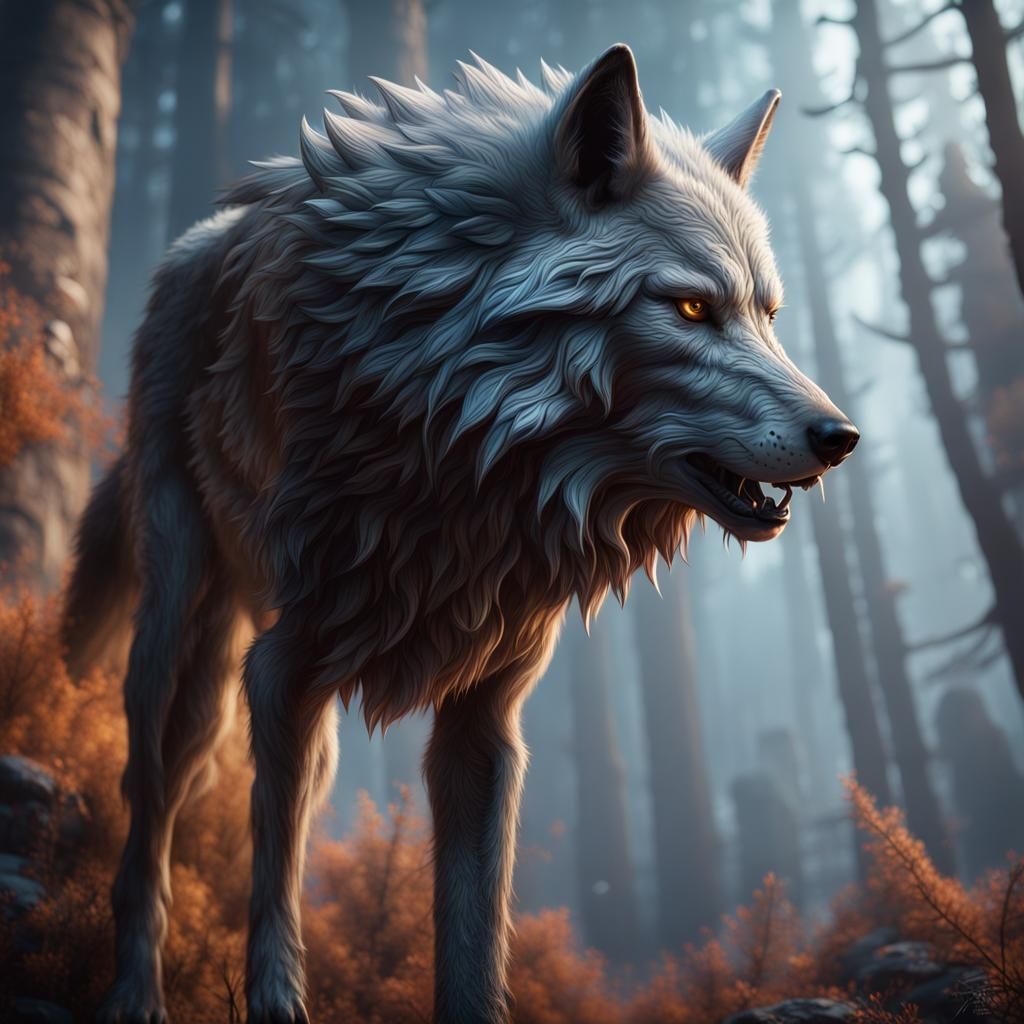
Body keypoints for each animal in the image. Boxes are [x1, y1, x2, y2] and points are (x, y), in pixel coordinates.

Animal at [63, 44, 858, 1024]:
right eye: (691, 310)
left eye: (768, 314)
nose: (840, 437)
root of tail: (191, 243)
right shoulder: (281, 673)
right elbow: (274, 884)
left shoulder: (485, 723)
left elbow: (475, 941)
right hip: (179, 639)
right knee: (148, 803)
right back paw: (133, 989)